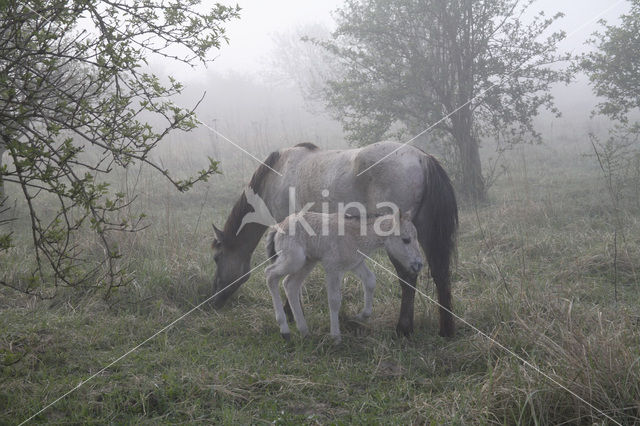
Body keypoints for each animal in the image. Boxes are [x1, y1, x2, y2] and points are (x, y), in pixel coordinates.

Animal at [262, 211, 422, 342]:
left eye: (416, 238)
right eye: (406, 239)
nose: (419, 264)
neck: (355, 235)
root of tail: (277, 226)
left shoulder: (356, 263)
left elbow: (370, 281)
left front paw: (360, 316)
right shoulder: (333, 268)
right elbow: (334, 300)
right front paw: (336, 337)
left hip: (308, 262)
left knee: (290, 285)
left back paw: (304, 331)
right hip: (295, 260)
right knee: (270, 275)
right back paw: (284, 330)